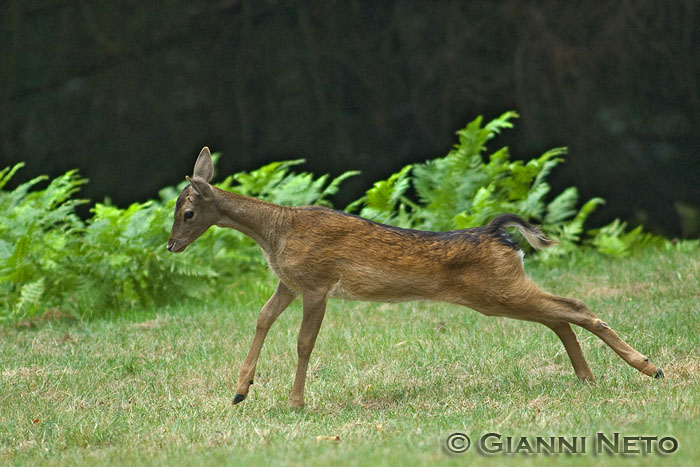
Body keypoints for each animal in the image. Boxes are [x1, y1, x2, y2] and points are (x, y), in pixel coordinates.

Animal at [167, 148, 664, 408]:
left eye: (188, 213)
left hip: (496, 288)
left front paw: (295, 402)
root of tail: (497, 232)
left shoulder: (316, 282)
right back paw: (588, 378)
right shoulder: (288, 282)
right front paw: (239, 392)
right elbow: (262, 319)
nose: (171, 246)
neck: (275, 234)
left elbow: (304, 342)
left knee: (572, 307)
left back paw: (650, 367)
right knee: (559, 315)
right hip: (500, 291)